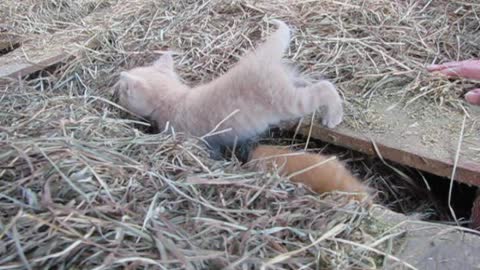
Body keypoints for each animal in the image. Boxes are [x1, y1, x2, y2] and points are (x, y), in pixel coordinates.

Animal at [115, 20, 344, 149]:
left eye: (122, 92)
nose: (115, 91)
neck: (175, 98)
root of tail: (261, 59)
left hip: (288, 101)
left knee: (324, 88)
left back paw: (333, 116)